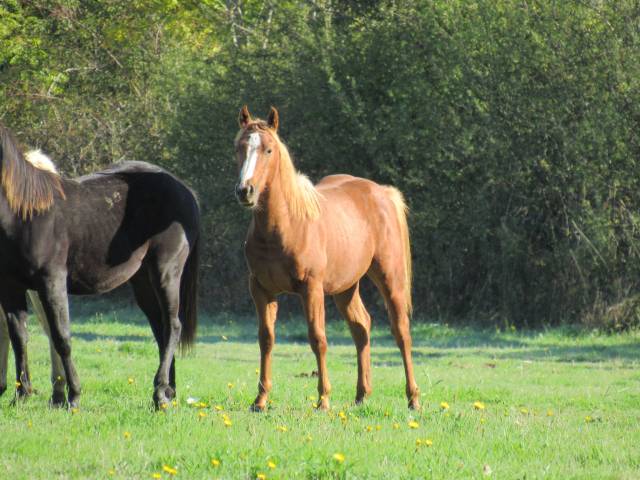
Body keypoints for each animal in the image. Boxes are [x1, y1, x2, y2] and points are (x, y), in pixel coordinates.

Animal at [0, 123, 200, 409]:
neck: (25, 214)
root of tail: (185, 190)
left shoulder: (52, 281)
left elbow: (61, 337)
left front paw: (73, 396)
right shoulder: (11, 287)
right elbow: (20, 338)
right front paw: (21, 396)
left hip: (166, 271)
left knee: (172, 326)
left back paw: (160, 393)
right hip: (142, 280)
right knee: (160, 328)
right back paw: (168, 392)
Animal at [234, 106, 420, 411]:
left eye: (269, 150)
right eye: (239, 147)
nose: (245, 191)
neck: (285, 225)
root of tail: (382, 192)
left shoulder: (311, 288)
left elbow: (317, 338)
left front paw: (323, 399)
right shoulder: (260, 289)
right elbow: (266, 339)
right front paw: (260, 400)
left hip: (389, 278)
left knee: (401, 332)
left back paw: (413, 398)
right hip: (346, 287)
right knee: (361, 328)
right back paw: (361, 395)